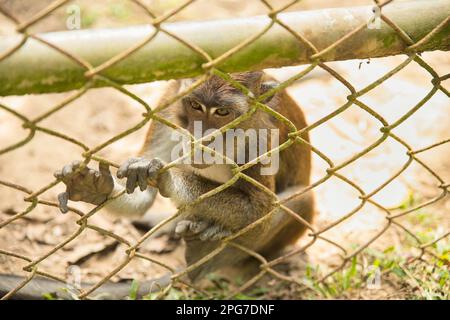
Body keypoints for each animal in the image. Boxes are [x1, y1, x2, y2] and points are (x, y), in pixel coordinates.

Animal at [0, 71, 314, 298]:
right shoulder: (168, 108)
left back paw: (205, 254)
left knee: (300, 200)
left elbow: (262, 209)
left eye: (222, 113)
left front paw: (169, 178)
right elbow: (143, 198)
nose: (201, 137)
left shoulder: (263, 133)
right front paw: (94, 187)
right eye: (196, 106)